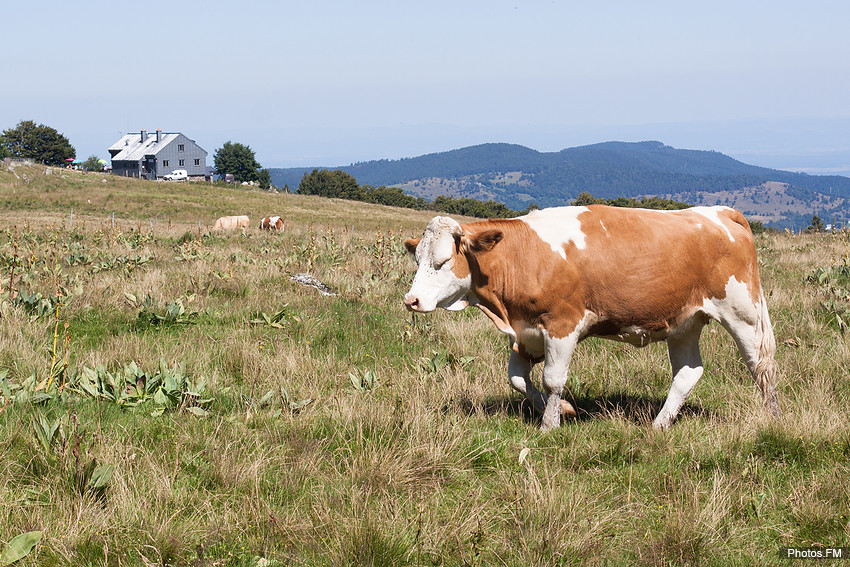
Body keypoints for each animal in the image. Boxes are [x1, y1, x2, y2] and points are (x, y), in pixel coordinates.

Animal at [400, 206, 780, 432]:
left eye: (444, 260)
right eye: (417, 258)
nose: (411, 300)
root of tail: (719, 211)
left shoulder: (562, 325)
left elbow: (553, 379)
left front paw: (549, 425)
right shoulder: (526, 333)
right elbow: (517, 379)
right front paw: (564, 410)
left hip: (742, 313)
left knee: (760, 364)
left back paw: (771, 414)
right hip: (684, 322)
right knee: (688, 373)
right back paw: (659, 425)